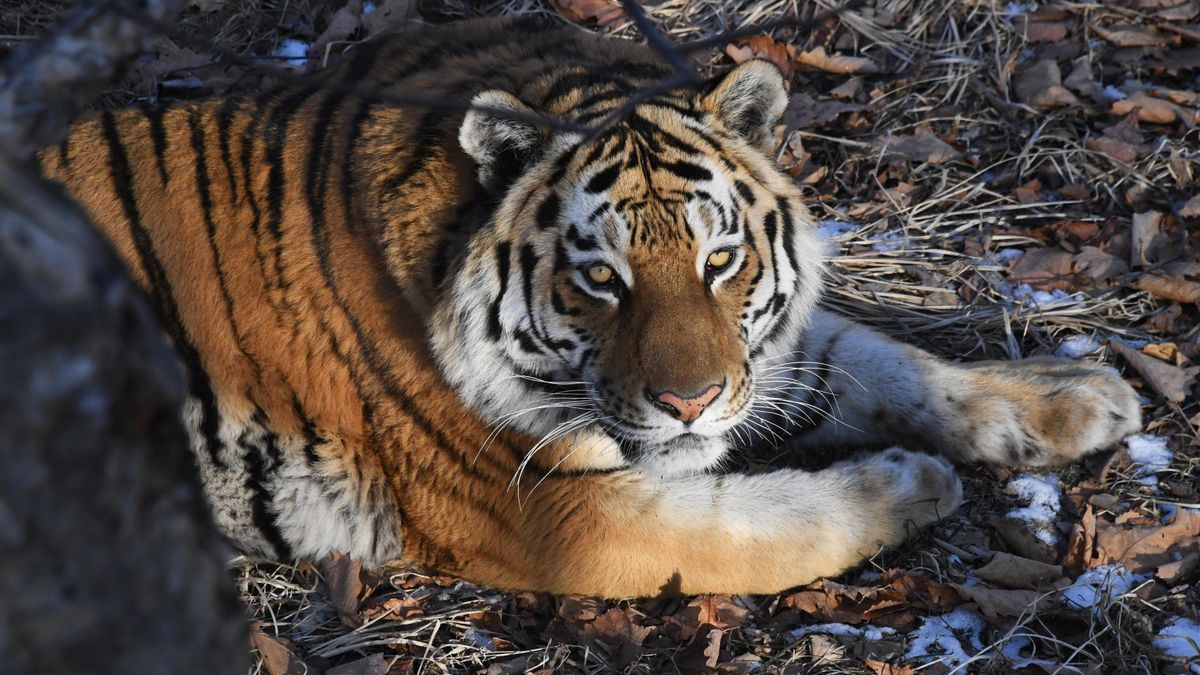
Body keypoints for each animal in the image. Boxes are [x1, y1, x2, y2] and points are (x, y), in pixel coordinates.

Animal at [36, 16, 1141, 597]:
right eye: (601, 278)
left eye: (720, 261)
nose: (691, 403)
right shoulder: (557, 510)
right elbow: (767, 526)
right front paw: (908, 483)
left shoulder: (760, 358)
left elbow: (888, 361)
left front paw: (1078, 396)